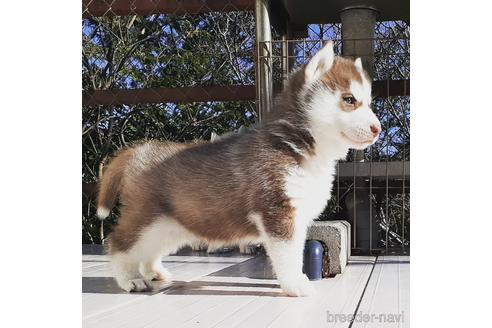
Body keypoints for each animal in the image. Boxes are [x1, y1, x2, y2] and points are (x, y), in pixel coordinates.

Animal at [96, 42, 380, 296]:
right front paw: (296, 285)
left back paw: (154, 271)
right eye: (349, 100)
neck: (295, 145)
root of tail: (140, 149)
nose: (378, 128)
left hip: (171, 226)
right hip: (146, 219)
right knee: (119, 243)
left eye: (368, 102)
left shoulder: (296, 217)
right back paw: (131, 279)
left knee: (149, 251)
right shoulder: (278, 212)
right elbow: (288, 255)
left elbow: (296, 251)